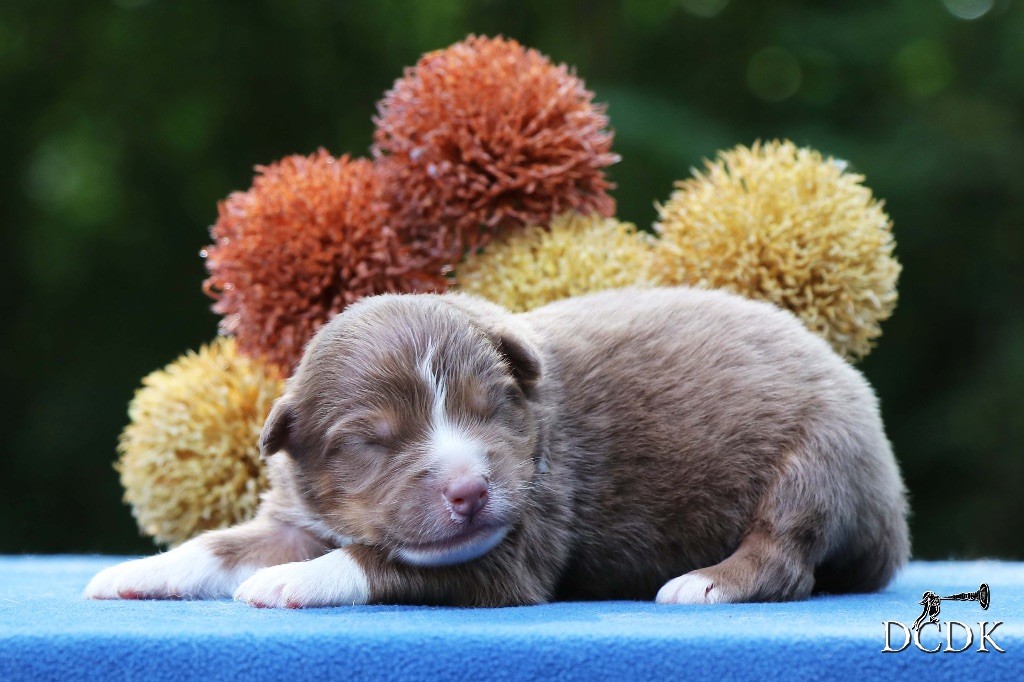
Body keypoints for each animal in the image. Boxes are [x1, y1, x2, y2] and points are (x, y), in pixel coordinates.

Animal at [83, 286, 909, 606]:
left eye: (491, 408)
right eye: (373, 441)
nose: (470, 491)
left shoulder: (517, 546)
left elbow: (373, 561)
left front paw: (294, 582)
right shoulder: (297, 514)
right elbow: (222, 544)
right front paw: (138, 571)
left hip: (819, 457)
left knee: (785, 555)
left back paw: (708, 582)